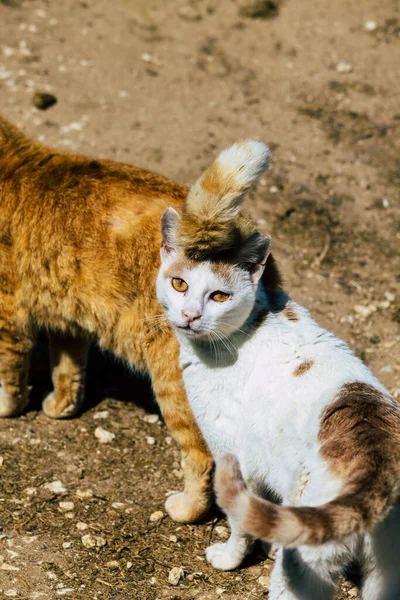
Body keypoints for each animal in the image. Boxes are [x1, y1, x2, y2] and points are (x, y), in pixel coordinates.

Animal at [0, 115, 212, 524]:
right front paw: (61, 407)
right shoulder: (68, 320)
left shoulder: (9, 315)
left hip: (174, 384)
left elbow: (11, 378)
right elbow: (68, 371)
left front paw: (6, 409)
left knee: (205, 457)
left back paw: (187, 510)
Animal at [155, 142, 400, 600]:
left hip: (305, 565)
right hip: (385, 574)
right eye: (179, 284)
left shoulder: (235, 457)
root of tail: (378, 458)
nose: (192, 315)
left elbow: (239, 524)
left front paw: (229, 557)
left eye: (219, 296)